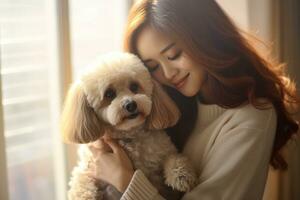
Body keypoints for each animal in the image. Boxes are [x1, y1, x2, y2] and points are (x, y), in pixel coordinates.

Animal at [60, 52, 197, 199]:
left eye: (134, 86)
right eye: (109, 93)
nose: (130, 105)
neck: (129, 136)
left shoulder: (163, 151)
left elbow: (174, 157)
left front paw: (181, 175)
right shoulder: (88, 169)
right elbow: (81, 182)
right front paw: (85, 195)